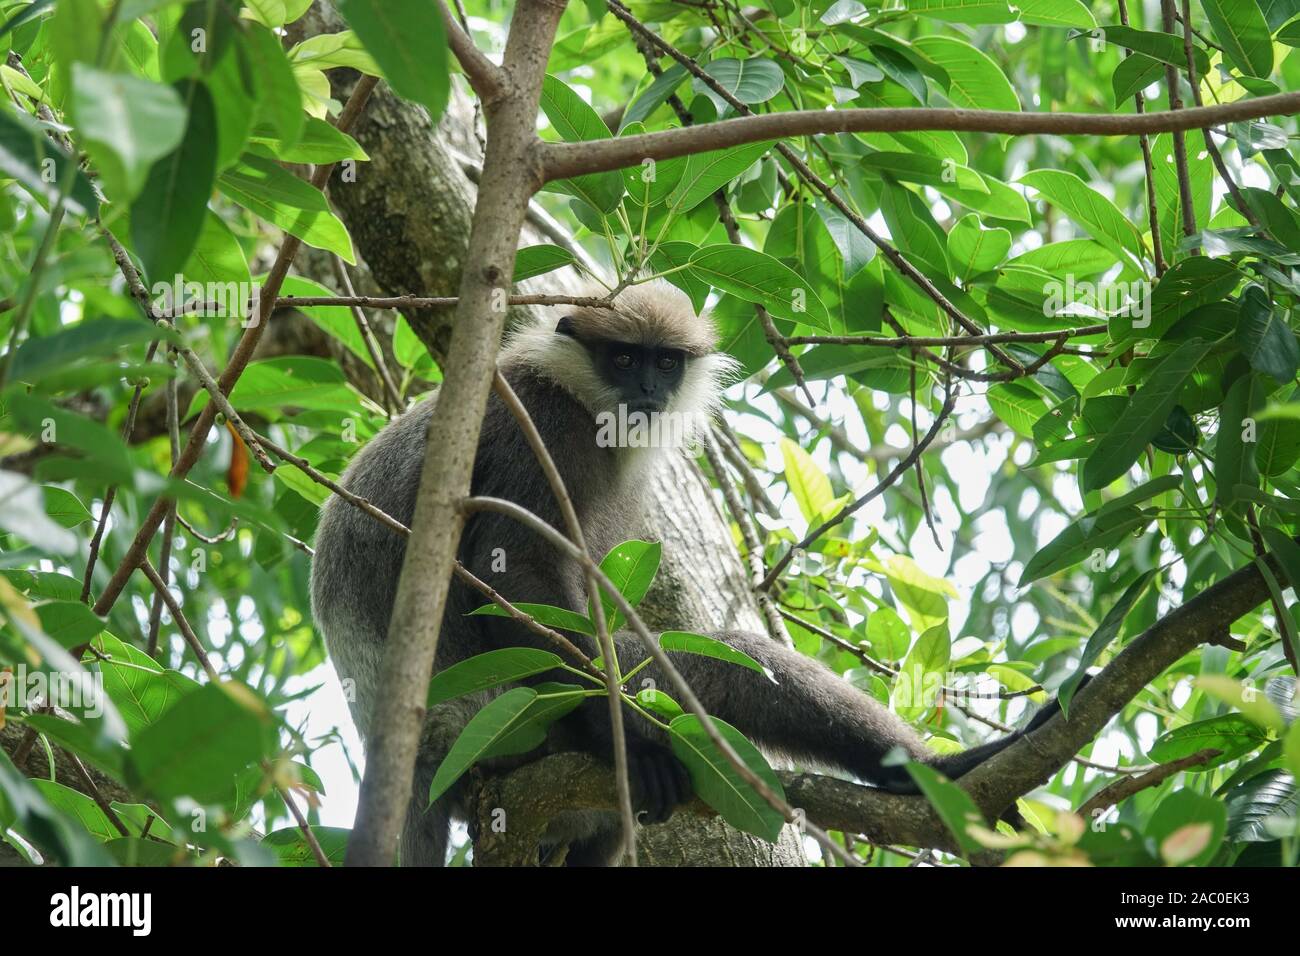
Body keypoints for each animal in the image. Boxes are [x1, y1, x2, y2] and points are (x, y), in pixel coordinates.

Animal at [312, 282, 1066, 868]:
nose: (647, 389)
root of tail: (418, 754)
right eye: (623, 356)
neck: (587, 407)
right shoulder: (536, 426)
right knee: (728, 661)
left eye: (666, 363)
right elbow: (510, 569)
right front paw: (616, 733)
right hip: (508, 722)